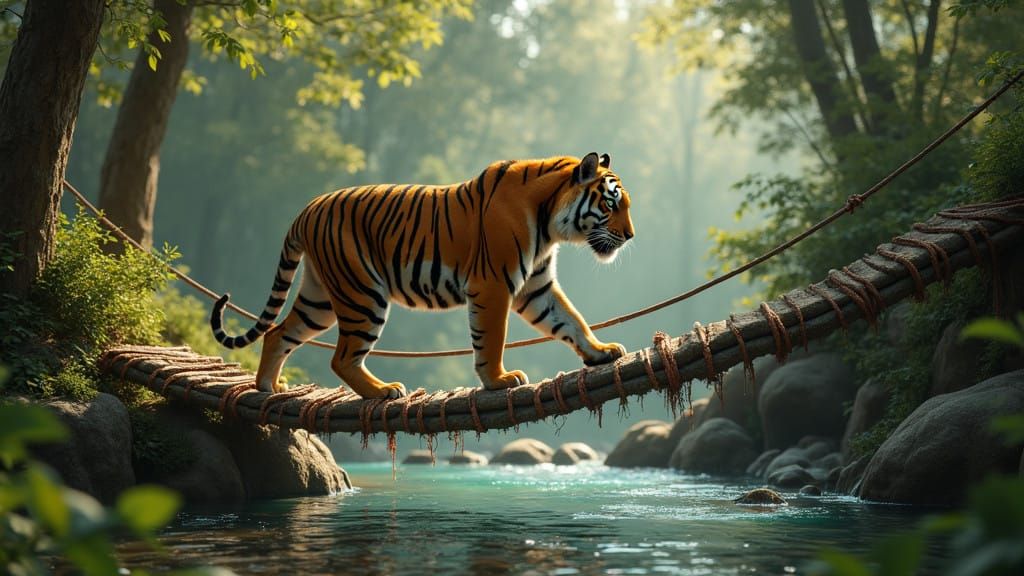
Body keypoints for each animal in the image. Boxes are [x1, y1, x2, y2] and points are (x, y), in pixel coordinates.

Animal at [210, 152, 635, 399]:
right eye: (611, 204)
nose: (631, 236)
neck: (549, 223)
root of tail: (307, 209)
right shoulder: (494, 284)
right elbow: (492, 339)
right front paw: (498, 380)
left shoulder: (537, 286)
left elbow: (571, 319)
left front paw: (600, 352)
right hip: (362, 295)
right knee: (341, 358)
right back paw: (383, 390)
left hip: (322, 298)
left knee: (278, 332)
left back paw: (269, 386)